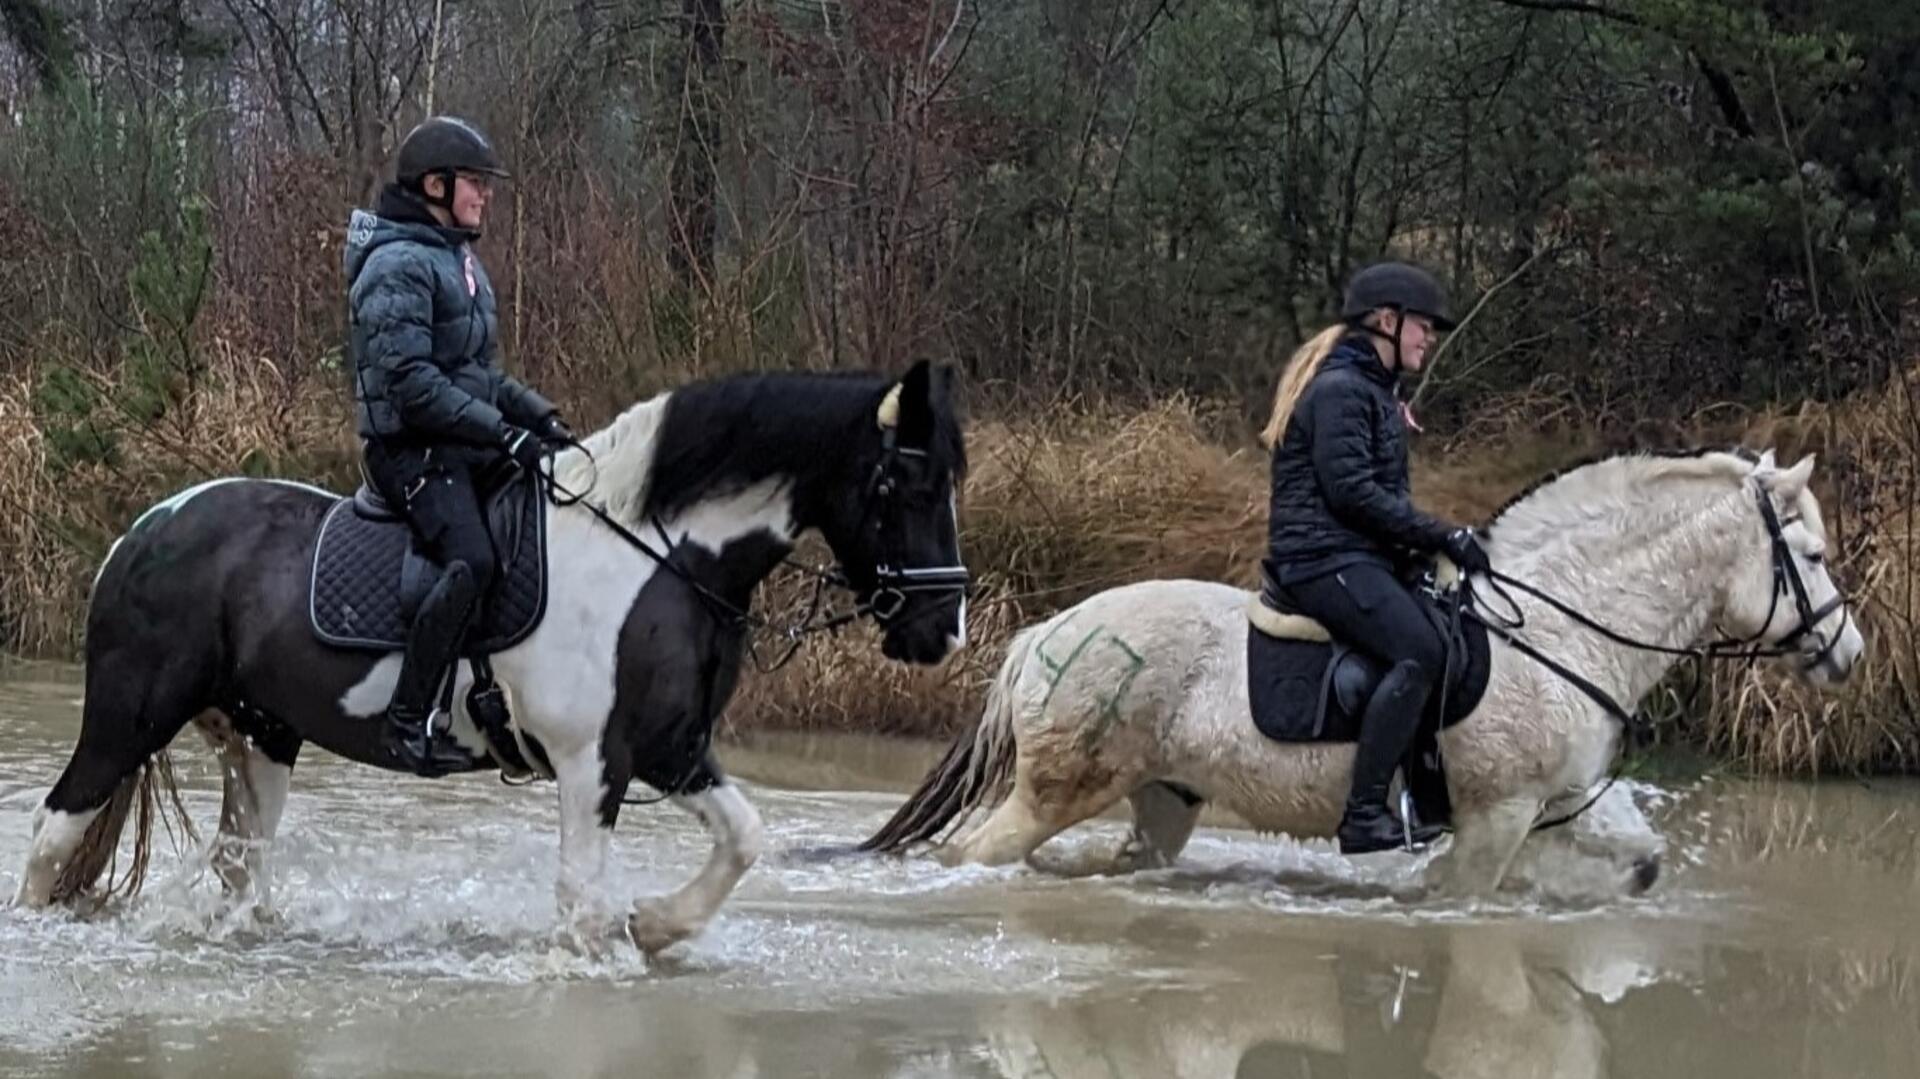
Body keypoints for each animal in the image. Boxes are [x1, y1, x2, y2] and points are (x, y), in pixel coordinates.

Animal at [11, 357, 975, 944]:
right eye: (905, 482)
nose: (943, 629)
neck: (654, 556)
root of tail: (143, 529)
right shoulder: (592, 760)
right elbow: (581, 900)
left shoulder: (668, 748)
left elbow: (744, 835)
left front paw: (659, 926)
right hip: (129, 716)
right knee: (55, 830)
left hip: (260, 735)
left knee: (239, 860)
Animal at [867, 445, 1858, 890]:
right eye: (1809, 555)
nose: (1849, 652)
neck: (1558, 628)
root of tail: (1048, 630)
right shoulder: (1497, 815)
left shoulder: (1552, 808)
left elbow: (1637, 859)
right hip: (1057, 790)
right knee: (973, 852)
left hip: (1165, 797)